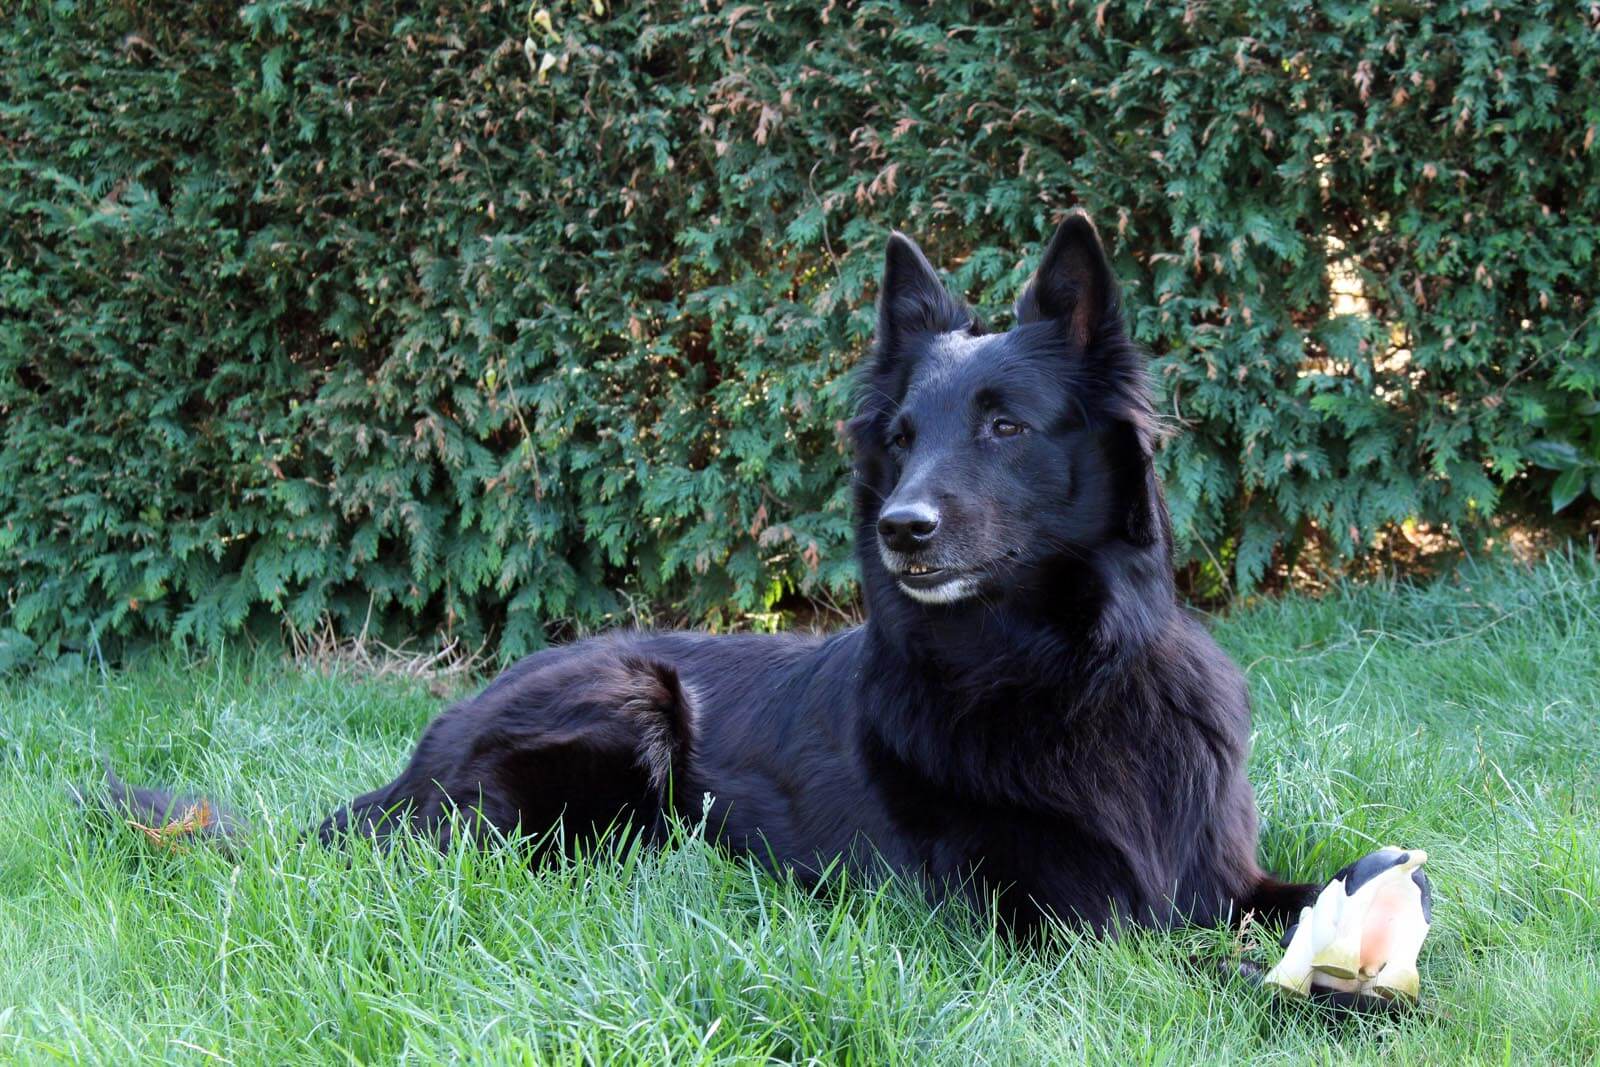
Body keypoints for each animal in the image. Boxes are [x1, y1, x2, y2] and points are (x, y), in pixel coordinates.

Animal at [102, 213, 1322, 939]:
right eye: (901, 440)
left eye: (1004, 425)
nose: (901, 528)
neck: (1062, 673)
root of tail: (410, 765)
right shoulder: (1067, 919)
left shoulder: (1221, 879)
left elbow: (1323, 899)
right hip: (627, 698)